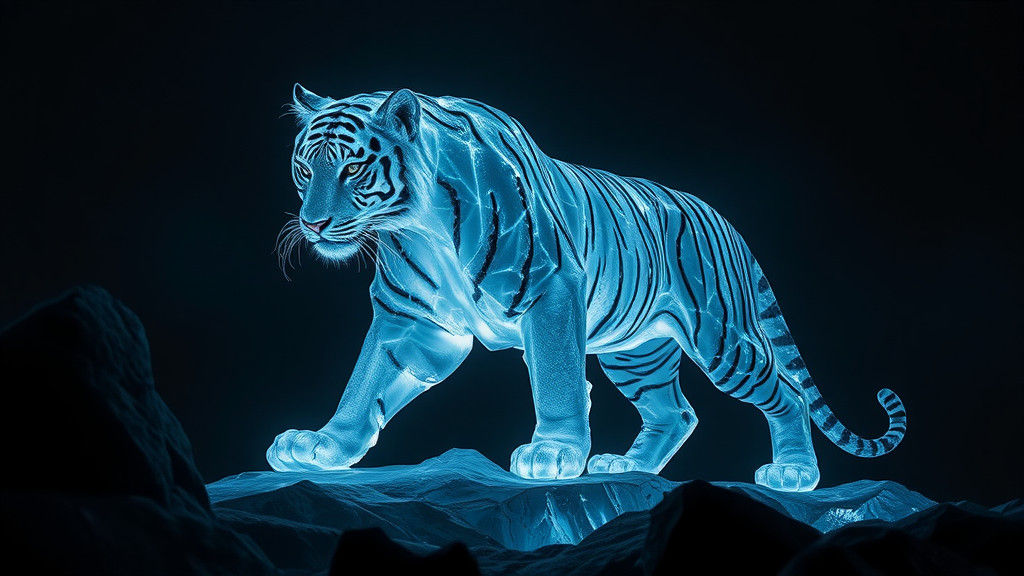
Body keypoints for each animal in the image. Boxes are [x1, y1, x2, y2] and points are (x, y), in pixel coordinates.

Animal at [267, 84, 907, 492]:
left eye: (352, 168)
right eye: (305, 168)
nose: (313, 224)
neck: (418, 225)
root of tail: (723, 218)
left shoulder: (550, 292)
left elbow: (557, 380)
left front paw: (553, 453)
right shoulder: (412, 320)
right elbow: (364, 384)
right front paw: (324, 446)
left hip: (722, 340)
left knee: (786, 393)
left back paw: (795, 475)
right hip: (638, 351)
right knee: (676, 411)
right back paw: (625, 467)